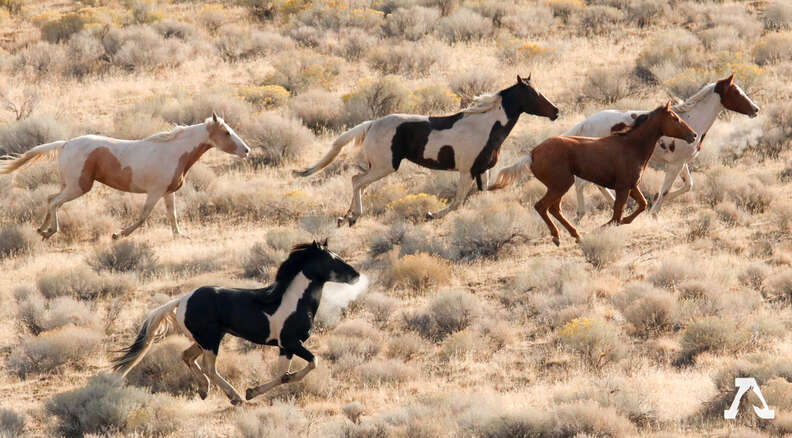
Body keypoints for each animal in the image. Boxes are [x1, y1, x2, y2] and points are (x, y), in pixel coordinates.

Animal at [0, 113, 249, 240]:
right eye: (227, 133)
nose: (246, 150)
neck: (174, 151)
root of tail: (66, 144)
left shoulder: (167, 192)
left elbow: (172, 215)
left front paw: (180, 236)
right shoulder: (155, 192)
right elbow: (143, 216)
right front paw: (118, 234)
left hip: (68, 184)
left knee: (51, 198)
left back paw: (41, 230)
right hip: (79, 186)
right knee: (54, 202)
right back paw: (50, 231)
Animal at [111, 240, 360, 405]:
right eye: (332, 260)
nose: (356, 275)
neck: (293, 301)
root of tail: (182, 300)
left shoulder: (285, 348)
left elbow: (283, 375)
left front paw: (254, 391)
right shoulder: (290, 343)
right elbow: (309, 364)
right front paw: (250, 392)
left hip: (208, 339)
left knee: (187, 356)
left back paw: (204, 390)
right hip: (211, 341)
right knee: (209, 368)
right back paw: (235, 397)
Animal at [293, 75, 559, 226]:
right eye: (533, 94)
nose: (555, 111)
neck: (485, 126)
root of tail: (371, 124)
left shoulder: (482, 171)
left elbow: (479, 196)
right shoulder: (466, 171)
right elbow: (457, 201)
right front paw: (432, 215)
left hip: (377, 167)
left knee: (359, 182)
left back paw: (346, 216)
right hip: (384, 166)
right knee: (357, 180)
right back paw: (353, 216)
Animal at [489, 102, 697, 246]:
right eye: (675, 118)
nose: (693, 135)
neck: (630, 146)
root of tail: (532, 154)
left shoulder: (631, 186)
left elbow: (641, 205)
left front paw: (622, 222)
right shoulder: (623, 188)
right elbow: (617, 214)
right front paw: (602, 228)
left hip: (558, 186)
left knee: (554, 208)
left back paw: (576, 235)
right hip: (561, 184)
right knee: (542, 206)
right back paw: (557, 237)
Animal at [567, 73, 759, 221]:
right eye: (736, 92)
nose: (755, 109)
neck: (692, 121)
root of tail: (585, 123)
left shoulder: (680, 163)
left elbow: (687, 185)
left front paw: (652, 206)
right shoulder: (675, 164)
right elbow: (665, 190)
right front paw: (654, 214)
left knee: (595, 184)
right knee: (581, 184)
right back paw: (581, 215)